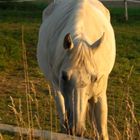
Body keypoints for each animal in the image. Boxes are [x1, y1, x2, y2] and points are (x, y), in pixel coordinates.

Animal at [37, 0, 116, 139]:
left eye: (95, 78)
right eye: (64, 76)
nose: (77, 129)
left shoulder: (100, 94)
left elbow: (101, 131)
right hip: (55, 87)